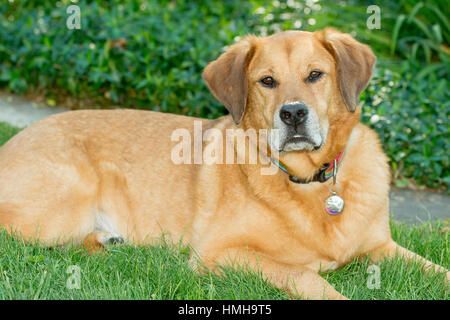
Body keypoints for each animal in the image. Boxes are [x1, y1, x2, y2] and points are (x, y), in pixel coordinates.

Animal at [1, 28, 448, 300]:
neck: (307, 181)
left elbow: (438, 269)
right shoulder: (219, 254)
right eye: (267, 81)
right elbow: (305, 274)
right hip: (66, 201)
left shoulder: (382, 247)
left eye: (315, 75)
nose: (293, 114)